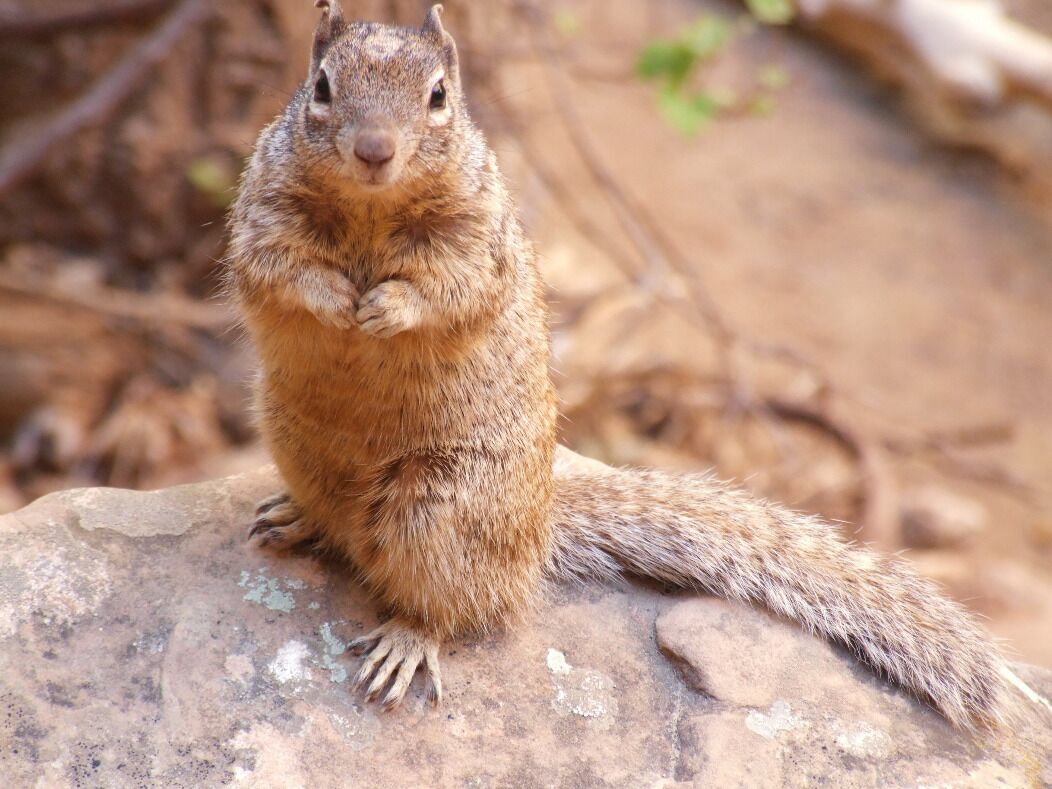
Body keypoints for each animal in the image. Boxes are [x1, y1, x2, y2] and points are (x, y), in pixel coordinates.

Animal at [226, 1, 1017, 728]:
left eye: (439, 95)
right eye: (322, 86)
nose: (374, 150)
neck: (370, 209)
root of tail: (537, 532)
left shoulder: (476, 245)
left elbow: (450, 291)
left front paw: (386, 309)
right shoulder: (262, 215)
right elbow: (277, 268)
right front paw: (335, 301)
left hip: (440, 514)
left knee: (452, 604)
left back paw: (408, 640)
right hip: (298, 445)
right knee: (342, 524)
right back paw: (299, 517)